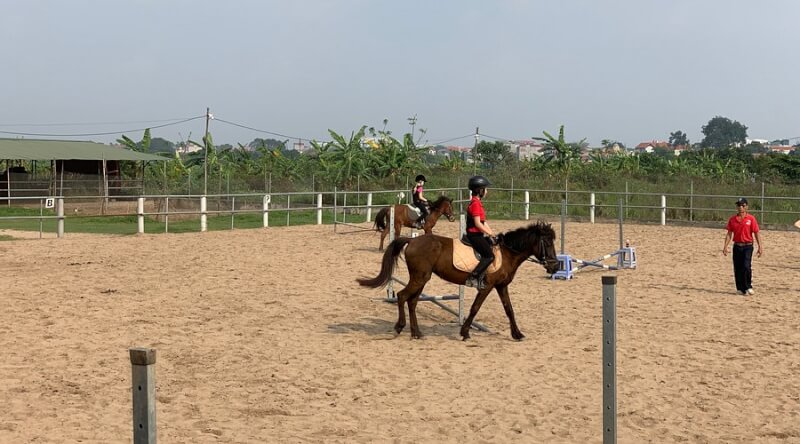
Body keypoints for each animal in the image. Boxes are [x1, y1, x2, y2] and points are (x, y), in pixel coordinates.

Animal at [357, 221, 560, 341]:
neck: (508, 253)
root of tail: (412, 240)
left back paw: (416, 333)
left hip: (422, 278)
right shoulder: (487, 286)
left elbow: (509, 310)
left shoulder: (501, 286)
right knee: (401, 296)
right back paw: (400, 327)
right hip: (419, 277)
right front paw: (465, 332)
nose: (555, 266)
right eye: (548, 243)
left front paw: (517, 334)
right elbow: (475, 308)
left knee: (412, 301)